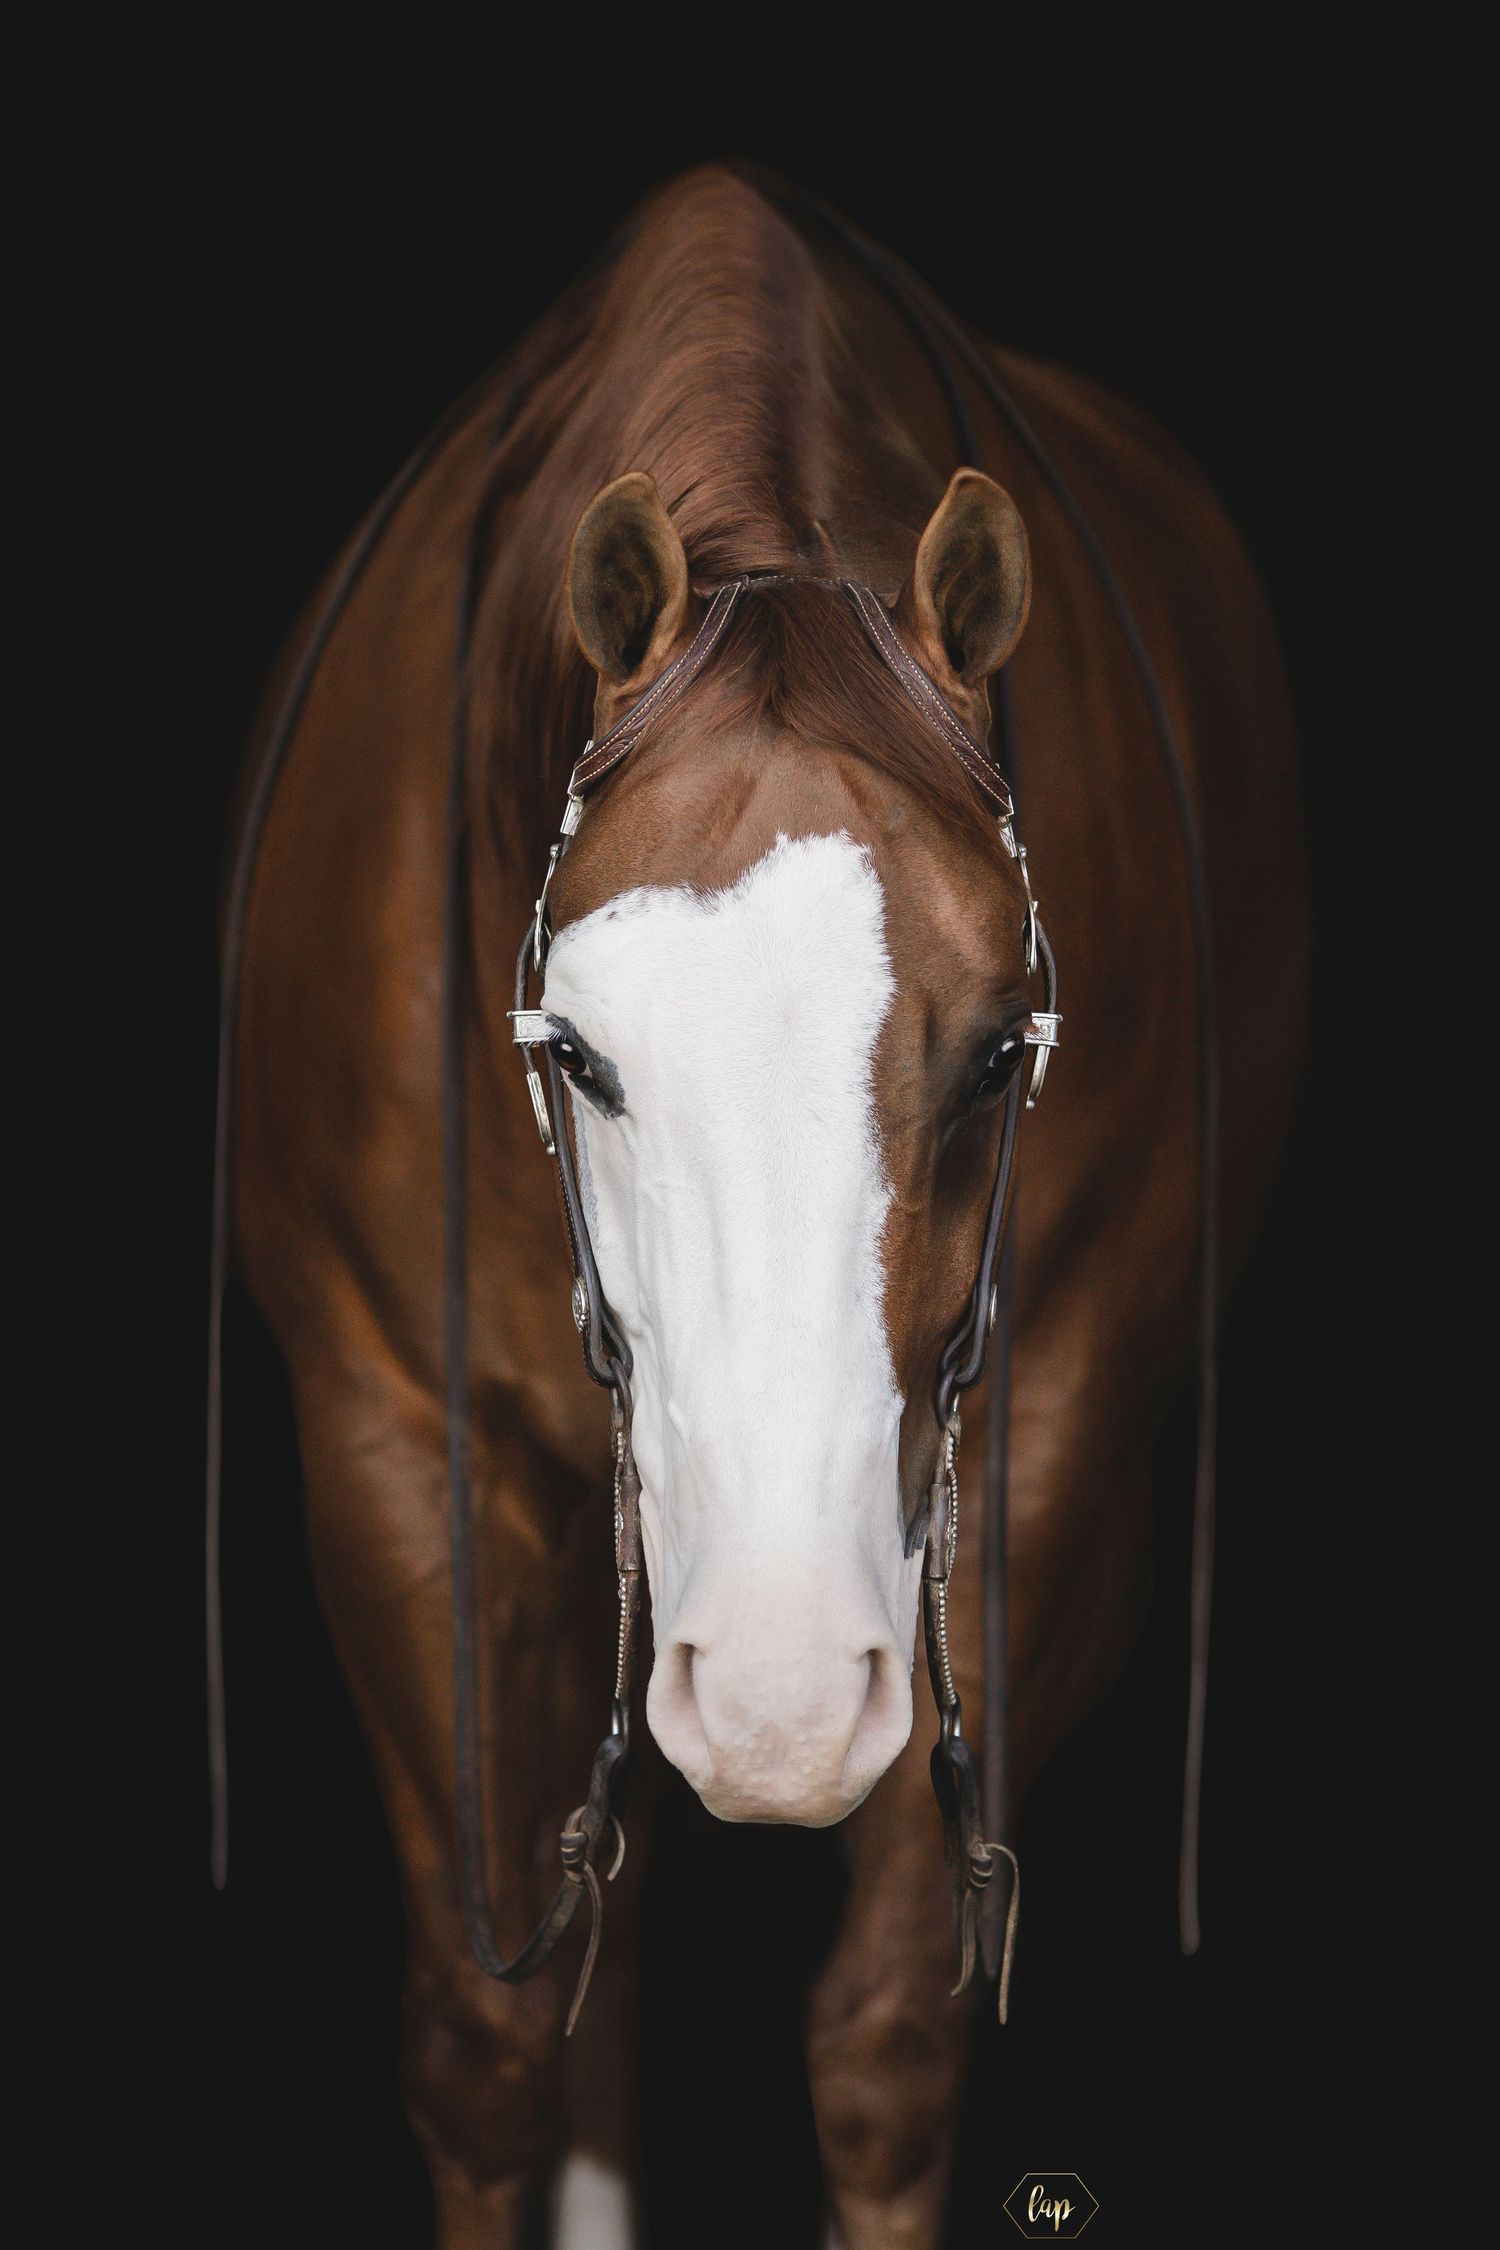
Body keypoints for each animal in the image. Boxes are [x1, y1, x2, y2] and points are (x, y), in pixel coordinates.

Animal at [224, 165, 1306, 2247]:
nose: (788, 1695)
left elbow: (884, 2050)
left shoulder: (1041, 1455)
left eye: (1000, 1056)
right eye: (573, 1052)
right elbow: (488, 2038)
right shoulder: (402, 1452)